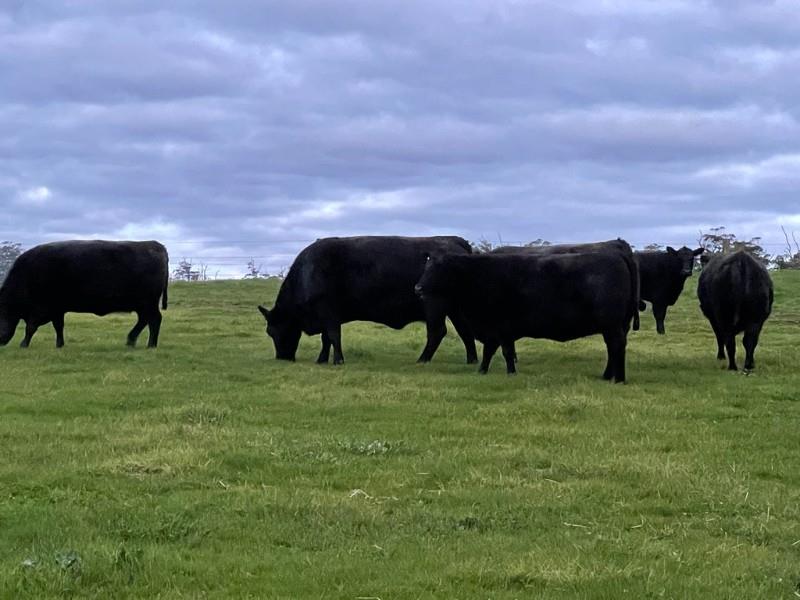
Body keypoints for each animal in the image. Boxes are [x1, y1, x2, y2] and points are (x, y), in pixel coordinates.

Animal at [0, 240, 169, 348]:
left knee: (154, 319)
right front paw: (59, 344)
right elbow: (58, 326)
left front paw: (23, 344)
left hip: (148, 303)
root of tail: (154, 245)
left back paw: (150, 345)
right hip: (143, 305)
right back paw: (131, 341)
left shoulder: (41, 309)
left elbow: (30, 327)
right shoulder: (57, 310)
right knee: (145, 320)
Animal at [257, 236, 478, 365]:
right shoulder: (327, 315)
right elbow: (326, 339)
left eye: (272, 331)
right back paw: (472, 360)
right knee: (464, 331)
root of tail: (454, 241)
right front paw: (322, 360)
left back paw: (422, 360)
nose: (282, 358)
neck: (306, 274)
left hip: (434, 307)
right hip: (455, 308)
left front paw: (338, 361)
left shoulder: (328, 312)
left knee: (437, 332)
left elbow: (333, 336)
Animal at [414, 251, 639, 382]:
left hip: (612, 324)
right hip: (612, 326)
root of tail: (616, 254)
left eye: (440, 268)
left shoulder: (500, 326)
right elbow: (492, 351)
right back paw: (607, 376)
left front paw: (505, 373)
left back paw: (619, 379)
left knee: (617, 346)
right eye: (426, 267)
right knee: (612, 348)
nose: (418, 288)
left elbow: (501, 351)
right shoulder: (496, 329)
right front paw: (486, 371)